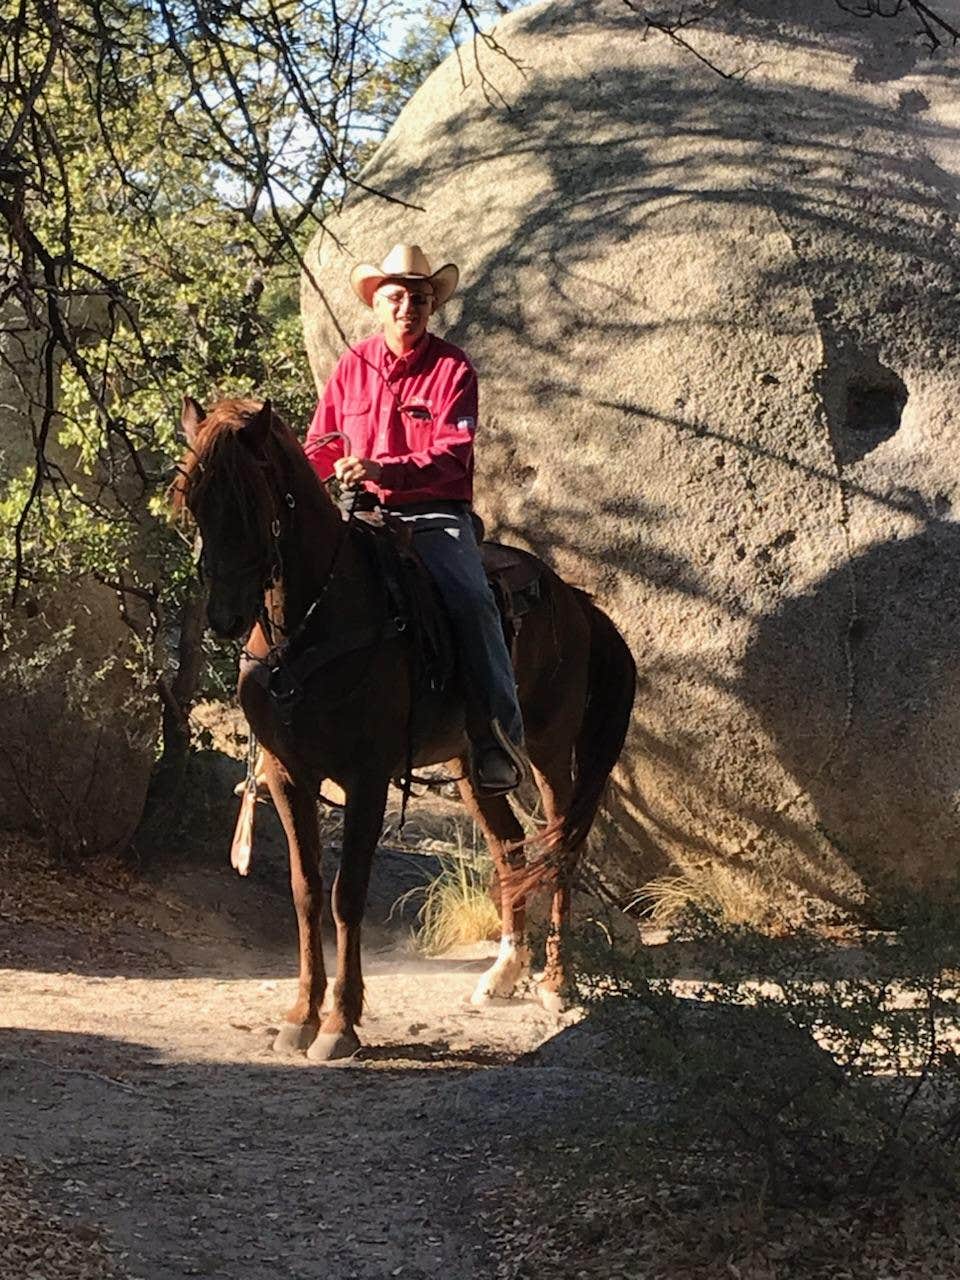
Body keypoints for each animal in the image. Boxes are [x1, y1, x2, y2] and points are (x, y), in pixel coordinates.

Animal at [173, 395, 636, 1062]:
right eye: (191, 496)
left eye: (252, 498)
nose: (226, 615)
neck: (312, 623)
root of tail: (578, 601)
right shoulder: (288, 775)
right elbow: (305, 890)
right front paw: (300, 1014)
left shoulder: (365, 778)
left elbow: (346, 895)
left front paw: (341, 1024)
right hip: (474, 767)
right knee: (510, 847)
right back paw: (503, 973)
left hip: (550, 752)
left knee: (561, 847)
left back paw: (555, 982)